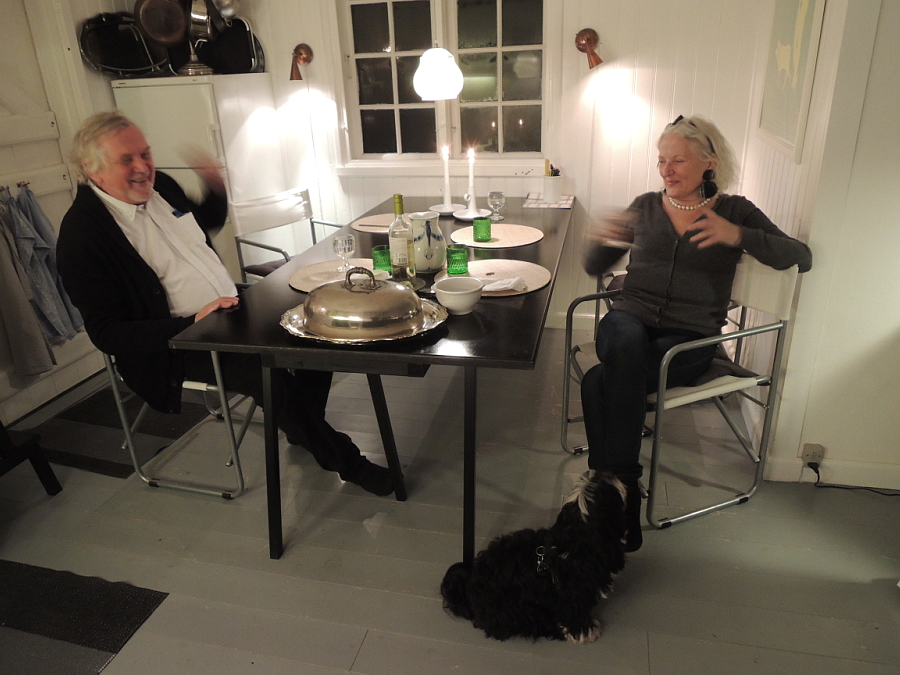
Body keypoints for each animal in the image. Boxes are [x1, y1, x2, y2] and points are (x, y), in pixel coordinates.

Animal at [440, 470, 628, 643]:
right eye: (606, 491)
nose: (598, 472)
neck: (573, 545)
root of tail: (468, 586)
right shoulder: (572, 595)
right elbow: (575, 614)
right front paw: (585, 630)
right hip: (516, 611)